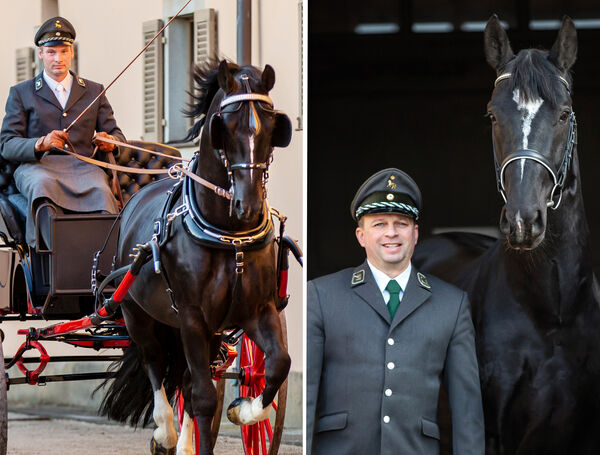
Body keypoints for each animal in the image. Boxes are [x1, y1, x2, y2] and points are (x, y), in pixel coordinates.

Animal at [98, 61, 292, 455]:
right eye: (224, 126)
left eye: (271, 126)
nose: (248, 206)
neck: (229, 237)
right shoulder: (191, 316)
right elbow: (203, 397)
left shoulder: (257, 311)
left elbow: (277, 366)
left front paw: (244, 410)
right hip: (138, 314)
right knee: (155, 364)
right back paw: (165, 432)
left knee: (183, 379)